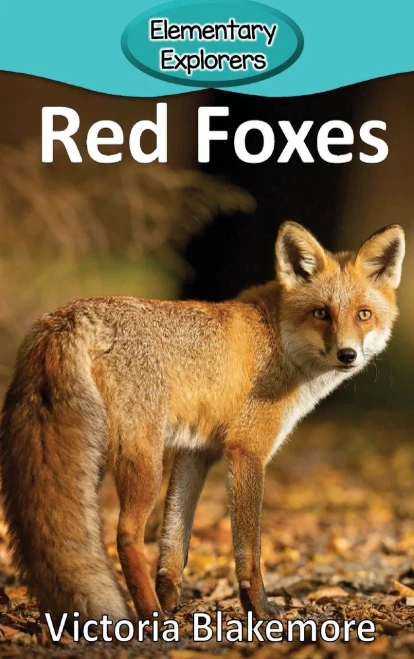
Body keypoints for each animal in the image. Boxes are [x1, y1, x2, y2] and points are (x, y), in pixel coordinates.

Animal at [0, 221, 405, 627]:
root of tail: (67, 317)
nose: (347, 354)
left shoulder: (195, 452)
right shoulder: (246, 450)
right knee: (126, 535)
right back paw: (150, 617)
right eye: (321, 313)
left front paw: (171, 602)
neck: (277, 339)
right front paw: (258, 608)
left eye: (364, 314)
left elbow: (174, 546)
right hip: (143, 463)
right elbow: (249, 550)